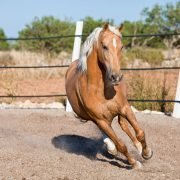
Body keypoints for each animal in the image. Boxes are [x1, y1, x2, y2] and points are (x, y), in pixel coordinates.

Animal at [65, 23, 153, 168]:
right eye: (104, 46)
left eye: (121, 47)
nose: (116, 77)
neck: (100, 89)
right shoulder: (100, 119)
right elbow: (120, 144)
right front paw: (134, 163)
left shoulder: (125, 108)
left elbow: (140, 132)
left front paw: (146, 153)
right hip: (98, 119)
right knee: (109, 131)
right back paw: (111, 147)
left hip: (121, 111)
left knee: (124, 125)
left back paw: (138, 148)